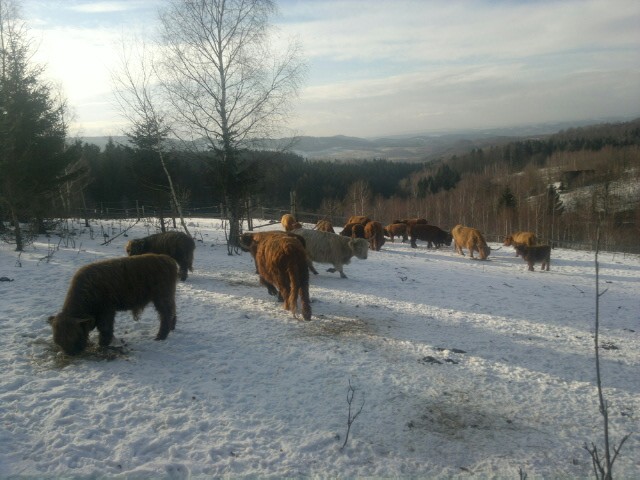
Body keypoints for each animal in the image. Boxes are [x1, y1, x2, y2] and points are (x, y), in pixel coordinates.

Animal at [48, 254, 179, 356]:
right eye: (57, 340)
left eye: (75, 335)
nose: (71, 354)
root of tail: (169, 260)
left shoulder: (107, 311)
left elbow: (105, 328)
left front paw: (102, 344)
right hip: (167, 296)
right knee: (172, 311)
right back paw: (171, 329)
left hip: (162, 297)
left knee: (166, 314)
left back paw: (160, 337)